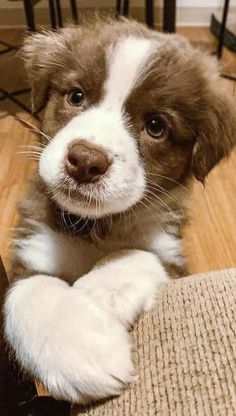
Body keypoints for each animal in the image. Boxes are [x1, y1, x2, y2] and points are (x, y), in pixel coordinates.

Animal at [3, 17, 236, 404]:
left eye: (156, 125)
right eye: (76, 96)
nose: (84, 162)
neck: (97, 226)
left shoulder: (172, 254)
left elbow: (139, 254)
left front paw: (95, 292)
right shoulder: (33, 245)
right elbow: (31, 289)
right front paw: (81, 348)